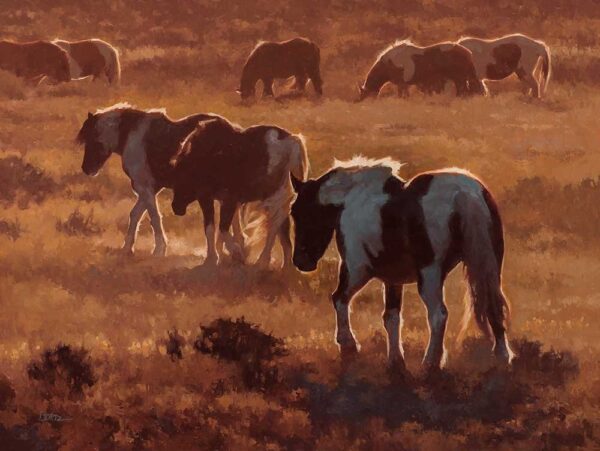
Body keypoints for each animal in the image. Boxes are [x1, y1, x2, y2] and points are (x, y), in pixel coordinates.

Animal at [76, 103, 245, 258]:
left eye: (92, 139)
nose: (87, 169)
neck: (130, 136)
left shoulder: (145, 188)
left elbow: (154, 217)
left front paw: (159, 250)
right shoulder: (150, 189)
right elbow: (136, 214)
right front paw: (127, 248)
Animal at [170, 115, 308, 268]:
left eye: (181, 178)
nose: (176, 208)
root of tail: (290, 141)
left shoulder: (220, 199)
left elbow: (222, 228)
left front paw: (236, 253)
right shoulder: (220, 199)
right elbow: (215, 227)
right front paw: (215, 257)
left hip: (273, 197)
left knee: (274, 226)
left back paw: (263, 261)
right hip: (281, 197)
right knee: (282, 228)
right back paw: (286, 265)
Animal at [290, 157, 510, 372]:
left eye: (298, 212)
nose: (300, 261)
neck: (350, 201)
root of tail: (464, 194)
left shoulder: (356, 269)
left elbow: (339, 299)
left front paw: (348, 345)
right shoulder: (393, 279)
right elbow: (392, 317)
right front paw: (395, 361)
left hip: (429, 275)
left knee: (438, 315)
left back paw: (430, 362)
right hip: (489, 267)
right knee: (493, 306)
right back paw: (502, 356)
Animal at [358, 40, 486, 101]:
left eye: (364, 95)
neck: (390, 63)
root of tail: (468, 53)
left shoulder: (402, 84)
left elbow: (403, 96)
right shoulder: (404, 85)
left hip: (459, 78)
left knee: (463, 92)